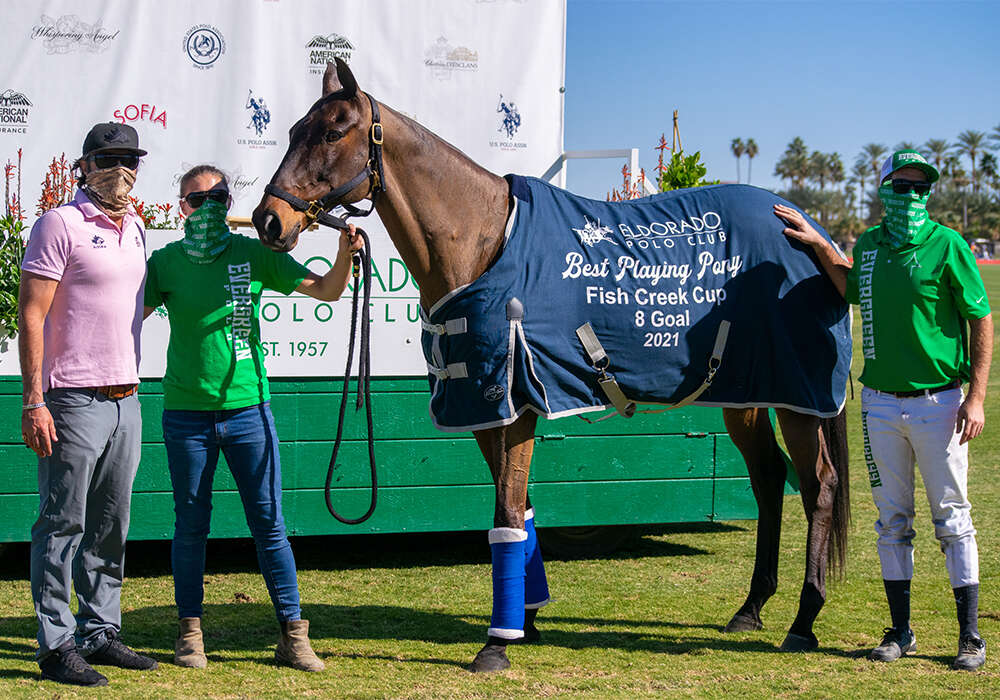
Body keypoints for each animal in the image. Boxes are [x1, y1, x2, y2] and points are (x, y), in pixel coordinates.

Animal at [254, 60, 848, 672]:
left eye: (331, 133)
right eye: (295, 130)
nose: (267, 220)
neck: (483, 240)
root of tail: (813, 234)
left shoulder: (515, 406)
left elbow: (506, 515)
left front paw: (497, 643)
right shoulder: (486, 410)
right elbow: (521, 511)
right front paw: (527, 619)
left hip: (800, 400)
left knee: (819, 485)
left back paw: (804, 620)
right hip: (747, 395)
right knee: (770, 477)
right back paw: (751, 608)